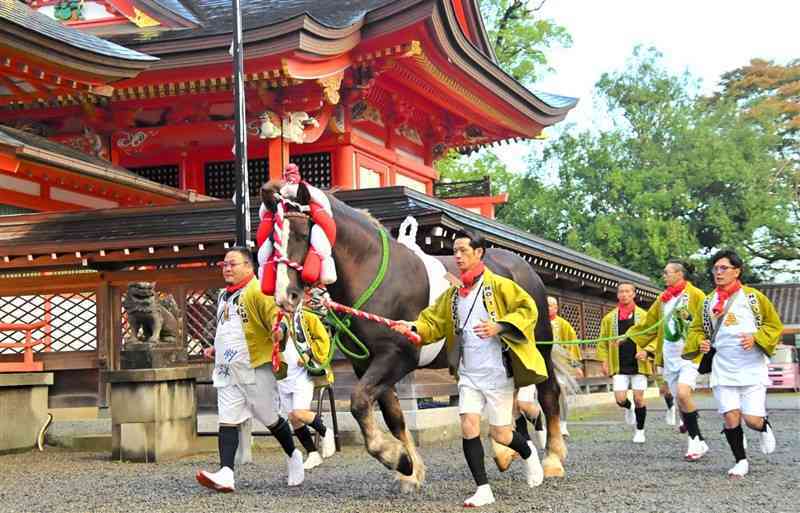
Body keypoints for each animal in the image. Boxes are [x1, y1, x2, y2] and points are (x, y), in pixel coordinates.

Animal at [256, 168, 568, 488]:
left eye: (302, 234)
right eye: (270, 239)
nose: (285, 294)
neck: (374, 274)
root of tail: (522, 267)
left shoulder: (398, 355)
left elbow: (359, 402)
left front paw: (396, 458)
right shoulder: (365, 362)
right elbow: (392, 416)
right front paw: (410, 468)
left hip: (538, 344)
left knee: (548, 393)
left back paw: (552, 459)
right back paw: (505, 452)